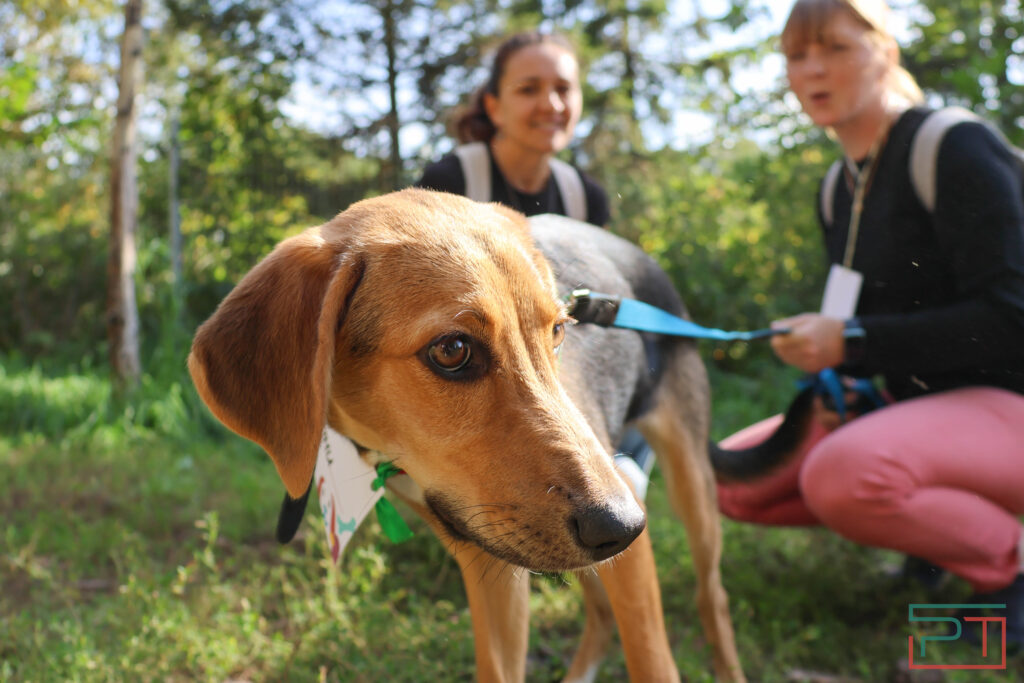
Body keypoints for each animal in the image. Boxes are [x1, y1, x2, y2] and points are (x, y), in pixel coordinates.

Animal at [188, 188, 745, 683]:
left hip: (688, 484)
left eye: (558, 331)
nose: (625, 525)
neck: (392, 455)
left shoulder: (627, 554)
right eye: (452, 350)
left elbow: (653, 661)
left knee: (713, 596)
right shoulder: (485, 554)